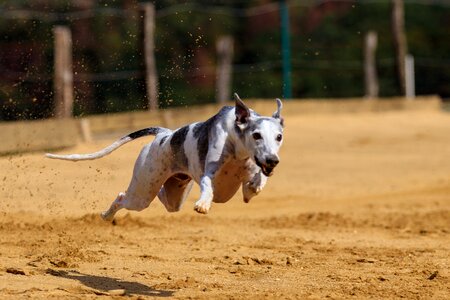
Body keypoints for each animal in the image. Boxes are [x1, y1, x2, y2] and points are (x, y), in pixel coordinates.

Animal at [46, 94, 284, 220]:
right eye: (256, 135)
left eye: (279, 137)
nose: (273, 160)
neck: (238, 146)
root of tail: (164, 134)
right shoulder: (209, 172)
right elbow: (207, 185)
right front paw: (203, 204)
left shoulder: (254, 168)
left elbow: (257, 181)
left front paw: (254, 187)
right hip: (142, 192)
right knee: (124, 197)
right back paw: (107, 215)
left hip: (173, 195)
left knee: (163, 198)